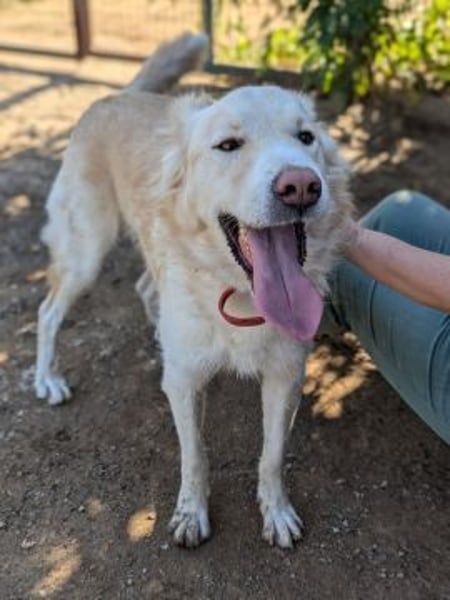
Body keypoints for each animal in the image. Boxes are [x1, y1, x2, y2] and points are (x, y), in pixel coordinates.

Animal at [34, 32, 352, 549]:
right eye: (228, 145)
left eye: (306, 138)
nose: (302, 185)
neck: (238, 293)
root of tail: (116, 96)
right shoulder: (185, 384)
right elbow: (195, 456)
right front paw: (190, 513)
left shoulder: (286, 376)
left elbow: (271, 457)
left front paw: (277, 512)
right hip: (86, 250)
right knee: (47, 312)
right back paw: (47, 378)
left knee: (145, 288)